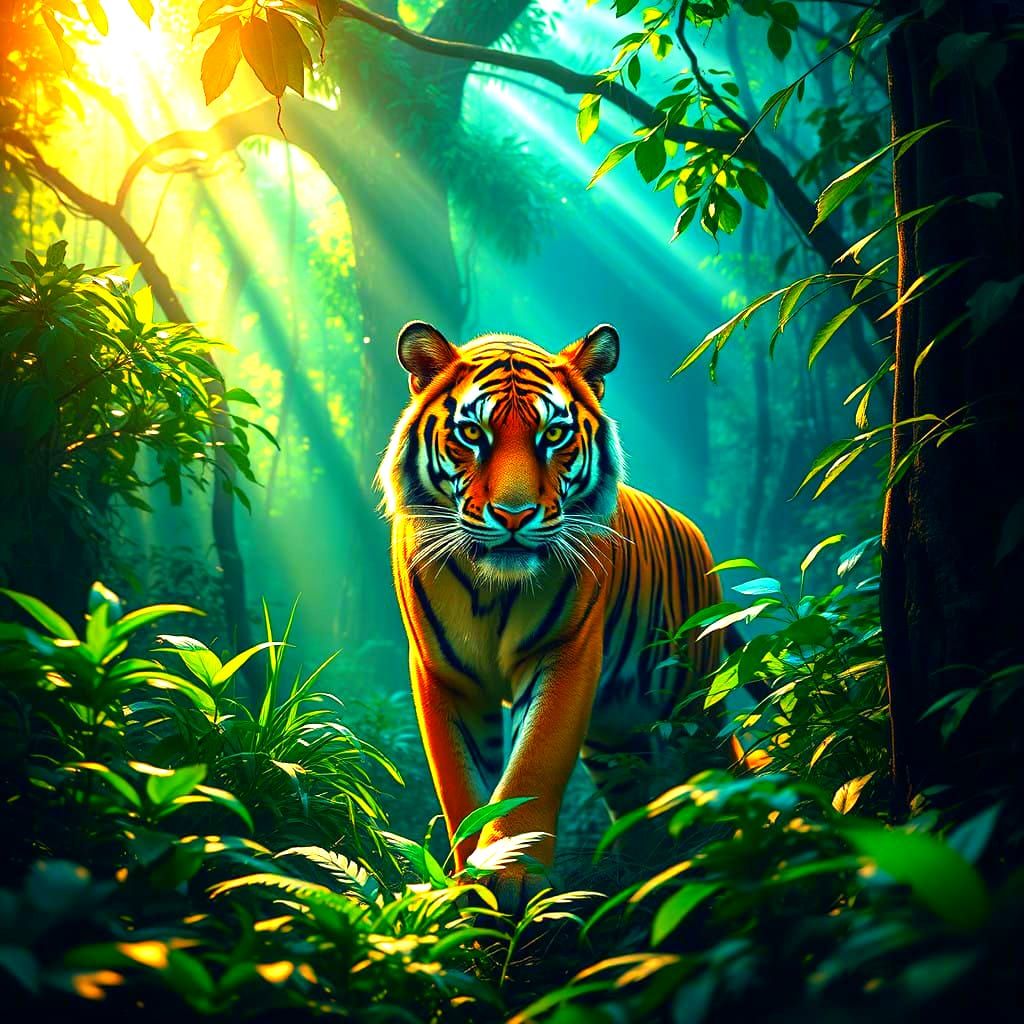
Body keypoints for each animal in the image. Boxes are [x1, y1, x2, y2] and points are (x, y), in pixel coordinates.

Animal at [378, 320, 726, 907]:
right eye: (472, 434)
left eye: (554, 435)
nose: (514, 515)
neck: (491, 589)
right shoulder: (442, 674)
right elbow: (461, 785)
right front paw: (467, 886)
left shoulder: (563, 653)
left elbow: (533, 764)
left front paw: (510, 874)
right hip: (615, 737)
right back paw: (639, 869)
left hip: (695, 698)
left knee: (721, 759)